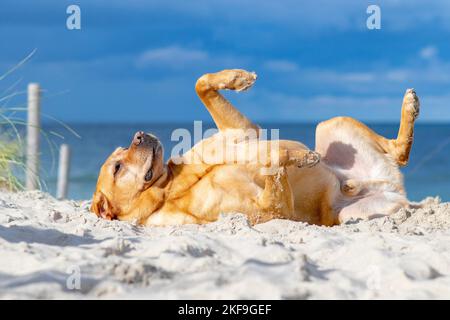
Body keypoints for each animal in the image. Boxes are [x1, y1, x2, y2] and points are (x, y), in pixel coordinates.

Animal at [90, 69, 418, 226]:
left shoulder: (241, 131)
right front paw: (299, 156)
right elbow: (273, 160)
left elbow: (201, 83)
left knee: (398, 151)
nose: (138, 135)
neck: (171, 187)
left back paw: (409, 106)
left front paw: (238, 78)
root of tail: (391, 187)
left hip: (332, 124)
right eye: (117, 167)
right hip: (347, 215)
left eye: (121, 150)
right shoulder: (273, 209)